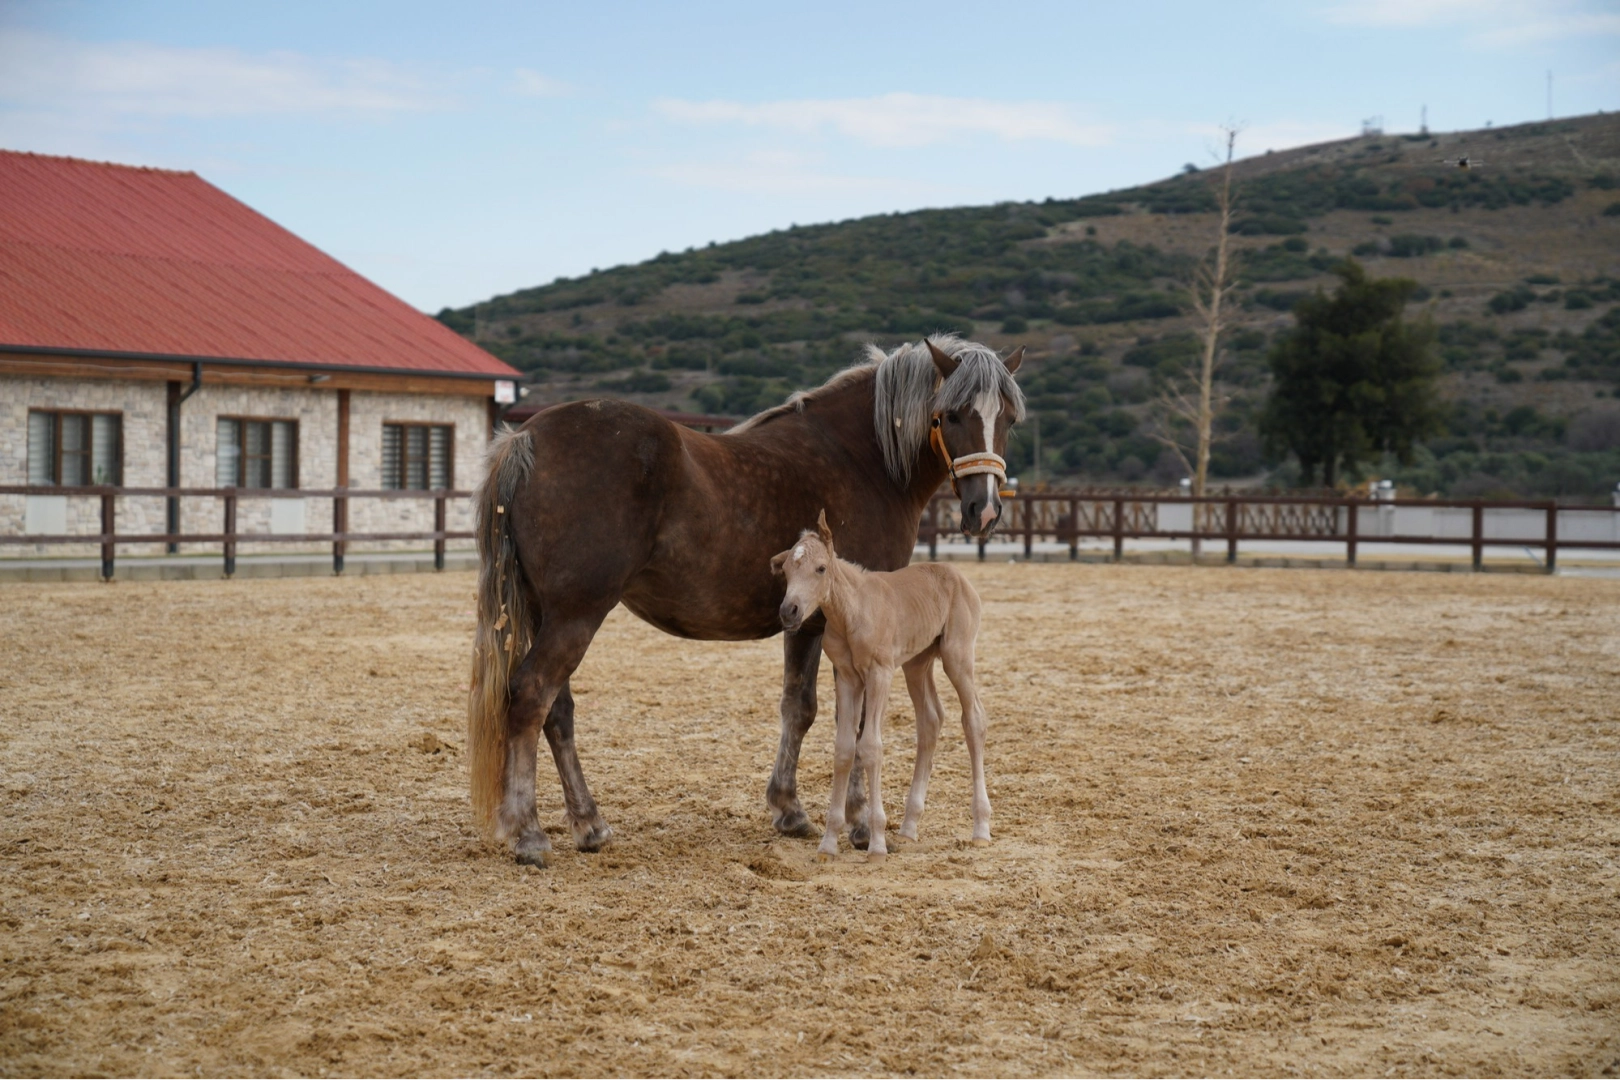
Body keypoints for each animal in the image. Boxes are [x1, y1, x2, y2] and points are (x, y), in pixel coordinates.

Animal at [771, 514, 984, 861]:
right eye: (787, 570)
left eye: (821, 568)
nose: (789, 611)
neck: (852, 610)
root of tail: (957, 576)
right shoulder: (847, 677)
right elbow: (844, 748)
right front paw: (828, 843)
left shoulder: (879, 673)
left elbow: (871, 746)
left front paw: (876, 843)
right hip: (917, 663)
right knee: (930, 720)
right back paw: (909, 827)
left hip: (958, 656)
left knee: (974, 719)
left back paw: (981, 828)